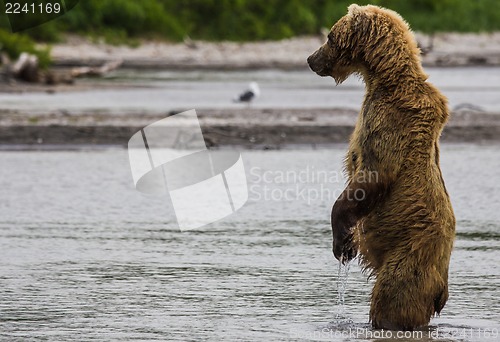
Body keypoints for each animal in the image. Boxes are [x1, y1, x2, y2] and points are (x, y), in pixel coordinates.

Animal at [306, 3, 456, 332]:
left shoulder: (389, 122)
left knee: (392, 298)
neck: (382, 78)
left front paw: (343, 241)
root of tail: (441, 288)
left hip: (410, 257)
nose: (310, 59)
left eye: (329, 36)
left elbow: (372, 176)